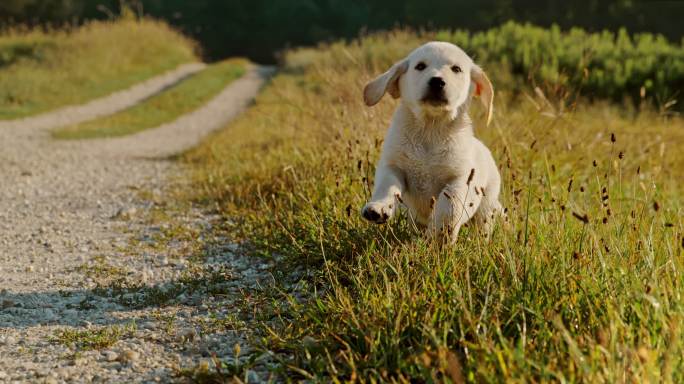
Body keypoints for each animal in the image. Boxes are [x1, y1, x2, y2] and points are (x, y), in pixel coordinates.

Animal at [364, 40, 502, 242]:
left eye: (456, 69)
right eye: (420, 66)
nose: (437, 81)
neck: (431, 129)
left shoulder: (460, 179)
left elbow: (448, 207)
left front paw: (439, 237)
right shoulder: (393, 165)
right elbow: (387, 186)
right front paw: (379, 207)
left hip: (486, 205)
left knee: (483, 224)